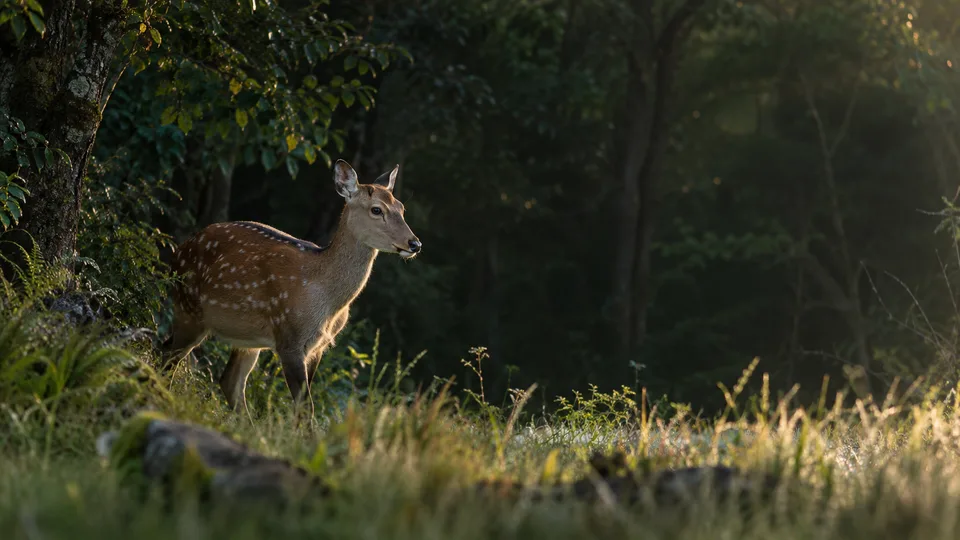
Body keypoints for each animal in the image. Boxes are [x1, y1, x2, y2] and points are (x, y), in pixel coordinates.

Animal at [159, 159, 421, 418]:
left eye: (401, 208)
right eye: (376, 209)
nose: (415, 243)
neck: (327, 300)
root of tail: (176, 253)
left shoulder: (318, 347)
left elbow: (300, 407)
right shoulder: (289, 337)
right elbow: (306, 408)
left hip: (246, 337)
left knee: (228, 380)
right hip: (189, 310)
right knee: (168, 357)